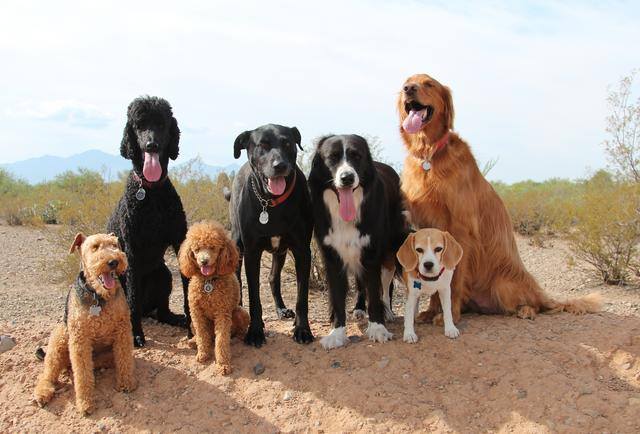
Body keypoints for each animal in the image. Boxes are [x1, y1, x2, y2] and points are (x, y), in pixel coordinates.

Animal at [34, 232, 137, 416]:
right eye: (94, 247)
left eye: (115, 245)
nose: (114, 261)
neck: (98, 296)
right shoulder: (79, 338)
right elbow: (82, 374)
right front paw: (85, 403)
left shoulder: (123, 329)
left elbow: (124, 360)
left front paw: (126, 384)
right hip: (60, 339)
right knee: (49, 373)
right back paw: (43, 393)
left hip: (105, 354)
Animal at [180, 222, 252, 374]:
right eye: (197, 249)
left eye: (213, 247)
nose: (204, 261)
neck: (208, 281)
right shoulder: (196, 313)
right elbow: (202, 335)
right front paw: (203, 354)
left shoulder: (222, 313)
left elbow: (221, 340)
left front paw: (223, 364)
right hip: (192, 322)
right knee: (204, 336)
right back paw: (193, 341)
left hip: (240, 312)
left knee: (236, 332)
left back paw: (238, 338)